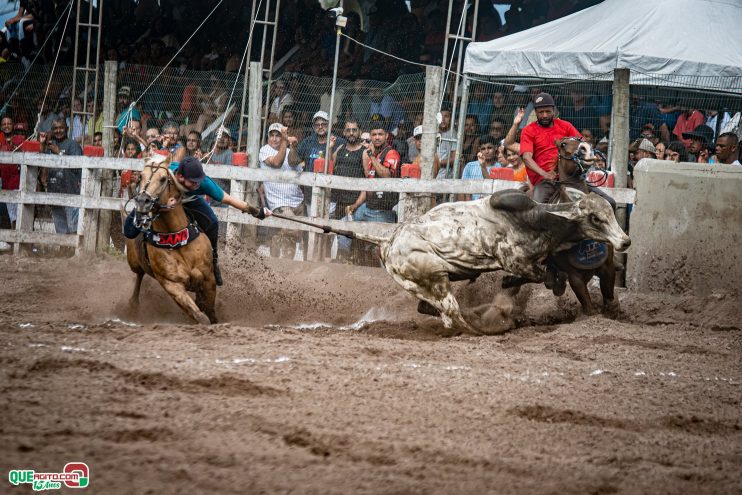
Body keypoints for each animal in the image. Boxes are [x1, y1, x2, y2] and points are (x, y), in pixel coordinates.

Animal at [125, 155, 217, 326]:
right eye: (140, 176)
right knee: (139, 276)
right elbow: (200, 316)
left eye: (162, 179)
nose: (142, 201)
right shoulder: (171, 284)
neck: (176, 238)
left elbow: (210, 311)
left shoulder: (208, 278)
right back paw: (133, 304)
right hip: (134, 263)